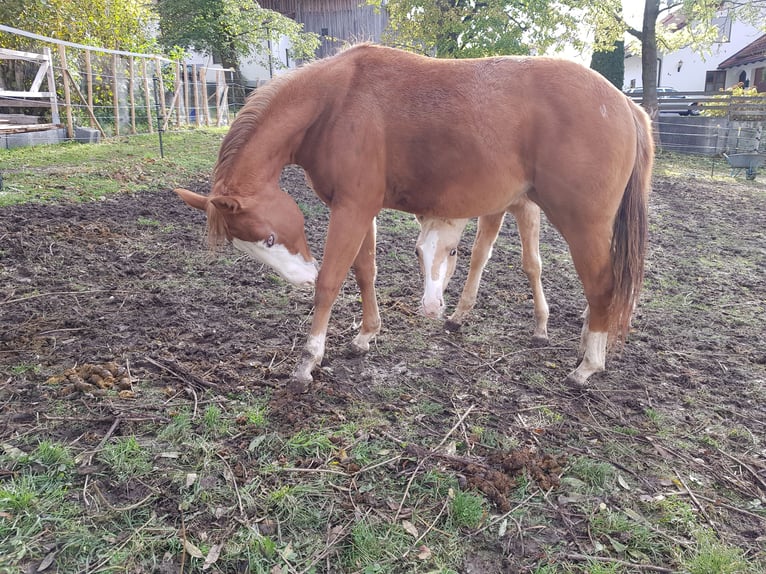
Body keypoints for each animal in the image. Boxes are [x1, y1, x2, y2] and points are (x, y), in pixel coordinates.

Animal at [416, 196, 548, 344]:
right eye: (417, 252)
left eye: (453, 251)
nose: (431, 307)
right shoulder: (493, 208)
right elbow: (479, 254)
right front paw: (456, 317)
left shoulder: (529, 207)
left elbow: (532, 264)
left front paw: (541, 329)